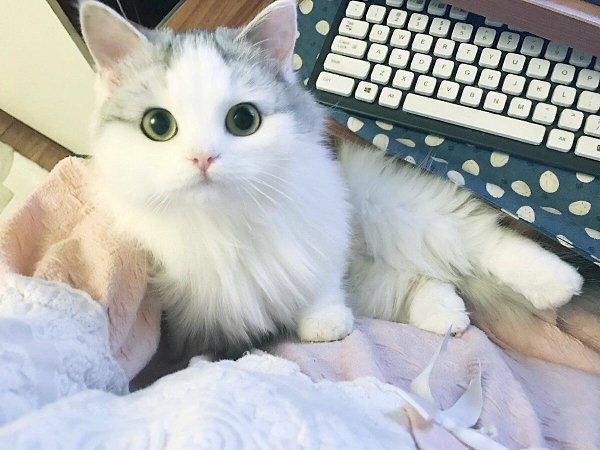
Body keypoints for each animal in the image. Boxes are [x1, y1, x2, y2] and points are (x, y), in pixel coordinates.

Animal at [80, 0, 583, 359]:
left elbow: (317, 282)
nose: (204, 157)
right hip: (380, 276)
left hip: (391, 205)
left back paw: (558, 282)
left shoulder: (319, 232)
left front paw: (324, 323)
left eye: (243, 120)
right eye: (158, 125)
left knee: (477, 241)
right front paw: (327, 327)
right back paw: (446, 314)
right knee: (427, 280)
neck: (227, 224)